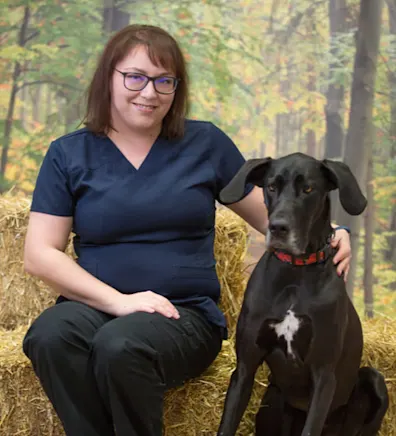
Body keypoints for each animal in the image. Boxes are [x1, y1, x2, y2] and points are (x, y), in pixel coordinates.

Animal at [217, 152, 386, 434]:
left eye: (308, 189)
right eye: (271, 186)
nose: (277, 228)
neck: (295, 274)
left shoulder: (324, 375)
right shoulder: (245, 368)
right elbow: (227, 423)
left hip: (375, 381)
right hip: (272, 399)